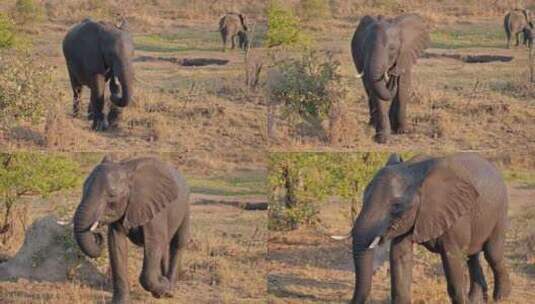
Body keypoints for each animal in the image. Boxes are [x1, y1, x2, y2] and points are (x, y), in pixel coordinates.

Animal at [73, 157, 191, 304]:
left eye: (112, 195)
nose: (97, 235)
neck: (126, 170)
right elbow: (116, 245)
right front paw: (120, 302)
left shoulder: (156, 211)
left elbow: (153, 242)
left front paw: (163, 285)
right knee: (164, 246)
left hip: (185, 207)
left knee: (178, 243)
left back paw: (169, 291)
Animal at [336, 153, 516, 302]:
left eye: (396, 206)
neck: (416, 171)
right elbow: (400, 257)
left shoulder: (455, 216)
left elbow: (453, 260)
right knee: (472, 256)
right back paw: (476, 299)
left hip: (500, 211)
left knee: (492, 253)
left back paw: (501, 298)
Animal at [352, 15, 432, 145]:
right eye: (364, 48)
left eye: (392, 49)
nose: (393, 75)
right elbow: (377, 93)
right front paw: (382, 139)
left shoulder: (405, 55)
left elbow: (403, 87)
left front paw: (402, 131)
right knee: (368, 90)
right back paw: (372, 125)